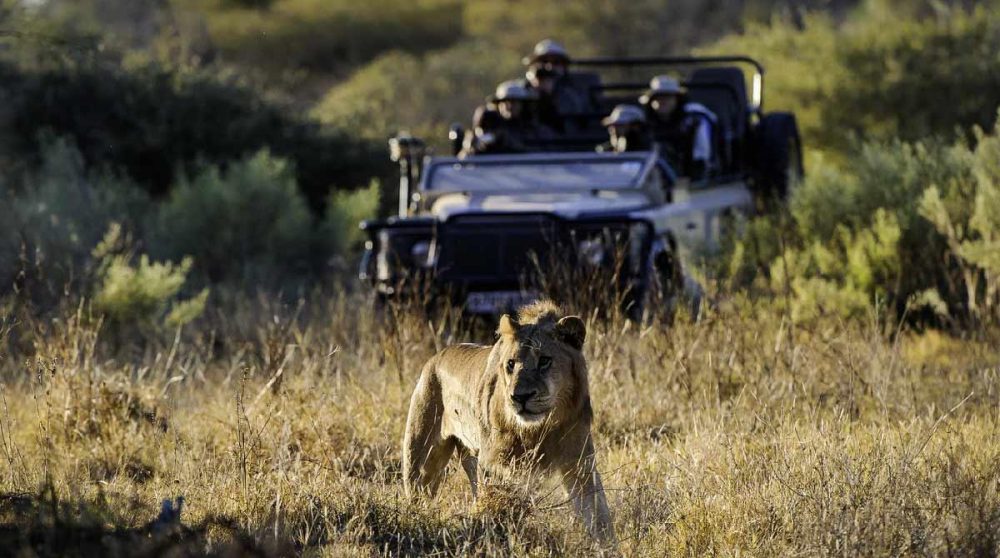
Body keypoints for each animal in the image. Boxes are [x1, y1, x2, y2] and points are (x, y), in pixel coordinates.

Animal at [401, 300, 616, 543]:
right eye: (511, 364)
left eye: (544, 361)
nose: (520, 397)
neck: (540, 427)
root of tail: (435, 357)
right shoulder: (495, 466)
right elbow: (494, 507)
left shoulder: (579, 463)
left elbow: (598, 515)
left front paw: (608, 546)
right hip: (422, 463)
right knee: (419, 494)